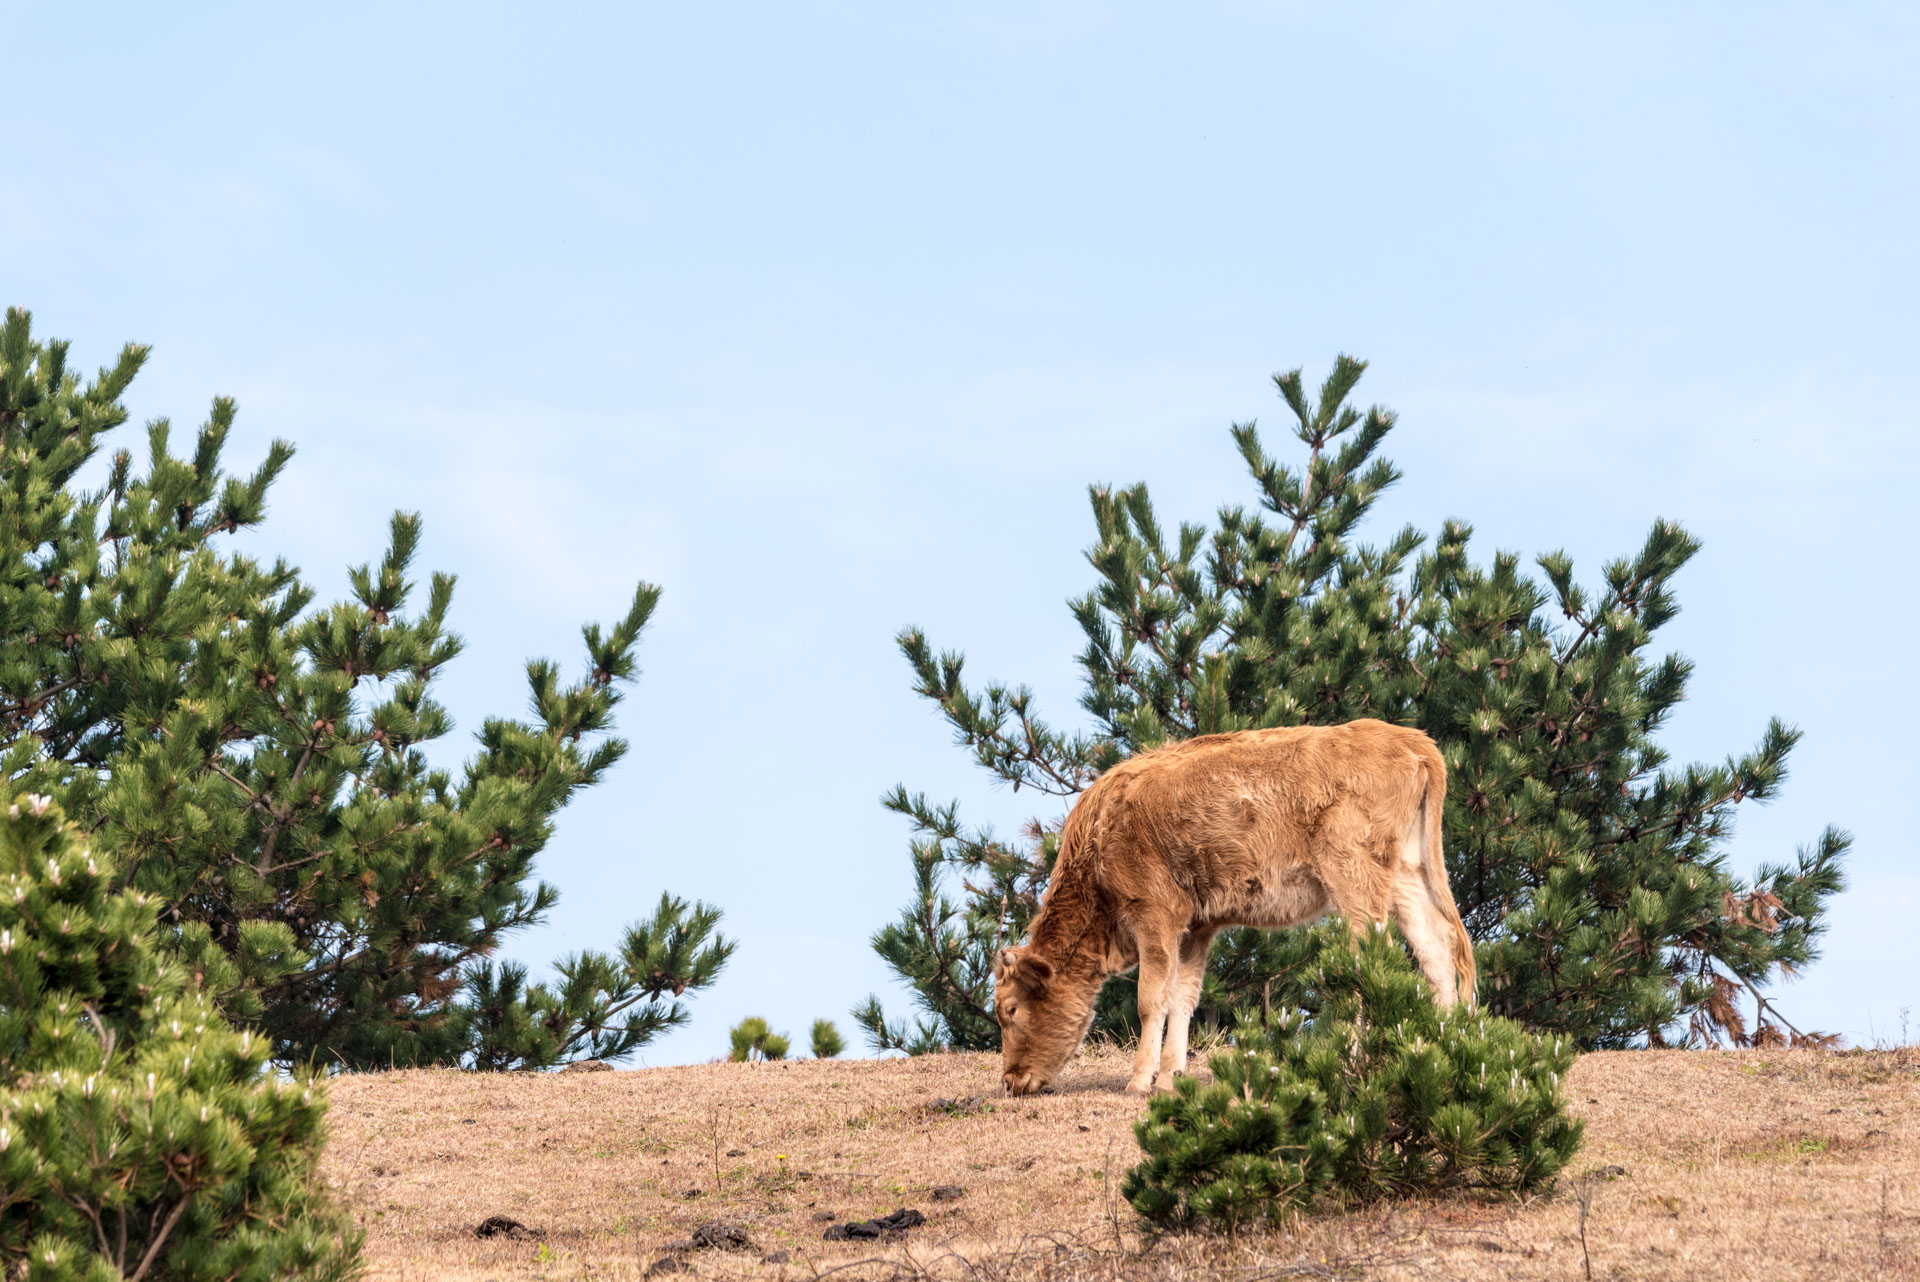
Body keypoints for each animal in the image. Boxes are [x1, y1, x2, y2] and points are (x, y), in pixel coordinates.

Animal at [990, 717, 1466, 1097]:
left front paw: (1139, 1081)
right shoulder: (1196, 928)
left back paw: (1348, 1062)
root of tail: (1410, 738)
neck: (1102, 828)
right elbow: (1183, 998)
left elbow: (1150, 999)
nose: (1011, 1080)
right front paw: (1170, 1077)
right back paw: (1444, 1044)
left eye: (1010, 1009)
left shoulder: (1154, 916)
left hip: (1355, 880)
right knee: (1436, 949)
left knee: (1362, 965)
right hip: (1405, 874)